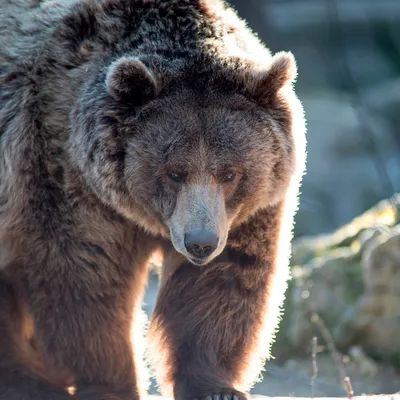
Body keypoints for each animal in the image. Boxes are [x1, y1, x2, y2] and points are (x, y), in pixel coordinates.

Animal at [0, 0, 306, 398]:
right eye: (174, 172)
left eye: (230, 173)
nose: (200, 243)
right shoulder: (65, 177)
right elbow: (85, 278)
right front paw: (112, 382)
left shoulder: (248, 210)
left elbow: (223, 281)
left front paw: (214, 384)